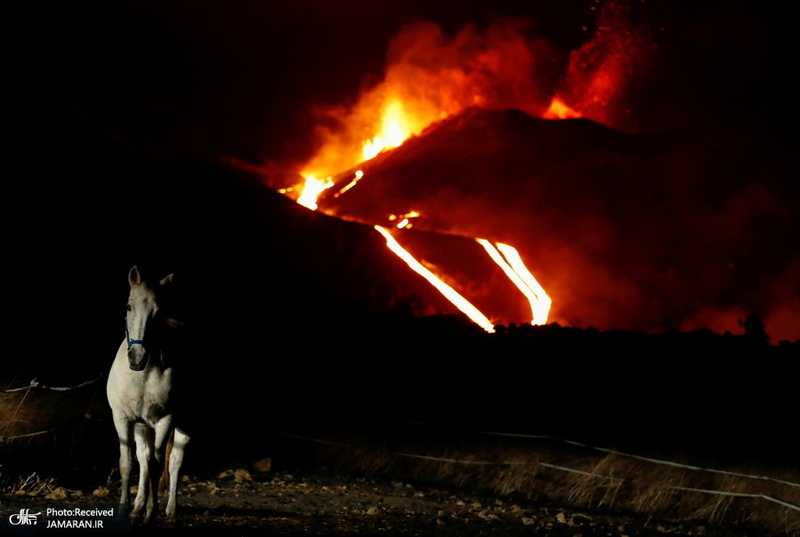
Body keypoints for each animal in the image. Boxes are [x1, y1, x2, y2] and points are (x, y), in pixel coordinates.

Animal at [107, 264, 190, 524]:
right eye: (128, 306)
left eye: (158, 311)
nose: (137, 358)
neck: (141, 376)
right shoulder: (123, 419)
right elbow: (127, 463)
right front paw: (125, 509)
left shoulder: (165, 421)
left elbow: (157, 466)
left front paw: (151, 513)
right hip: (143, 427)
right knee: (144, 460)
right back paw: (137, 507)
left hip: (181, 426)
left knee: (174, 463)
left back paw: (170, 510)